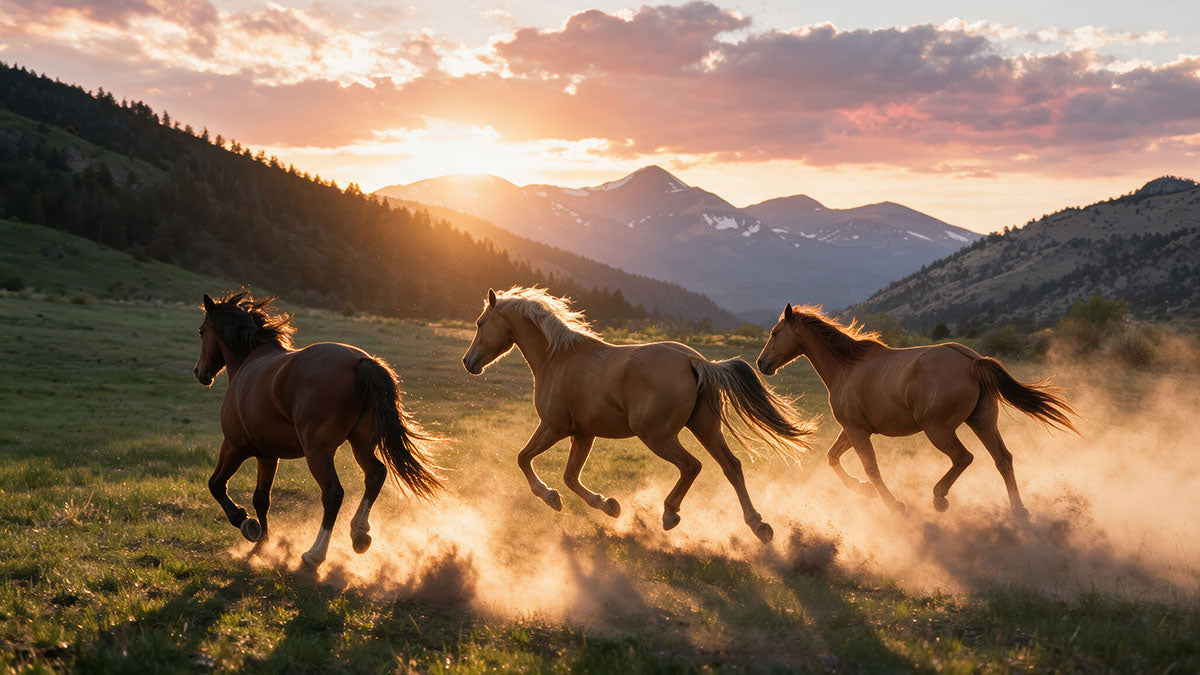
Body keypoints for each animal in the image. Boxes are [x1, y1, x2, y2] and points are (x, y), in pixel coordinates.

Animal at [192, 292, 441, 567]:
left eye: (202, 332)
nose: (199, 372)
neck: (248, 362)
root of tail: (361, 362)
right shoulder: (267, 455)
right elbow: (261, 498)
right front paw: (261, 545)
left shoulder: (234, 446)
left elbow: (216, 485)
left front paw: (247, 525)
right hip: (360, 444)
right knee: (376, 474)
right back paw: (359, 534)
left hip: (318, 452)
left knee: (333, 493)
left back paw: (315, 554)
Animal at [461, 287, 814, 542]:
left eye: (480, 324)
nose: (469, 362)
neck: (558, 359)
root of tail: (696, 361)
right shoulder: (582, 434)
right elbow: (570, 476)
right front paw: (608, 505)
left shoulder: (553, 427)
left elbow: (524, 458)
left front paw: (550, 497)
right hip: (705, 428)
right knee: (732, 467)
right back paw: (759, 526)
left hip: (657, 435)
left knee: (692, 466)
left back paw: (670, 514)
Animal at [756, 304, 1077, 517]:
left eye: (774, 332)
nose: (762, 363)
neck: (846, 367)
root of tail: (973, 361)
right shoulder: (852, 430)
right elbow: (833, 458)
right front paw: (863, 489)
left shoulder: (857, 431)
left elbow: (870, 468)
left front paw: (893, 503)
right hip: (983, 422)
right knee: (1003, 460)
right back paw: (1019, 511)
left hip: (938, 429)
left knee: (964, 458)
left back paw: (939, 498)